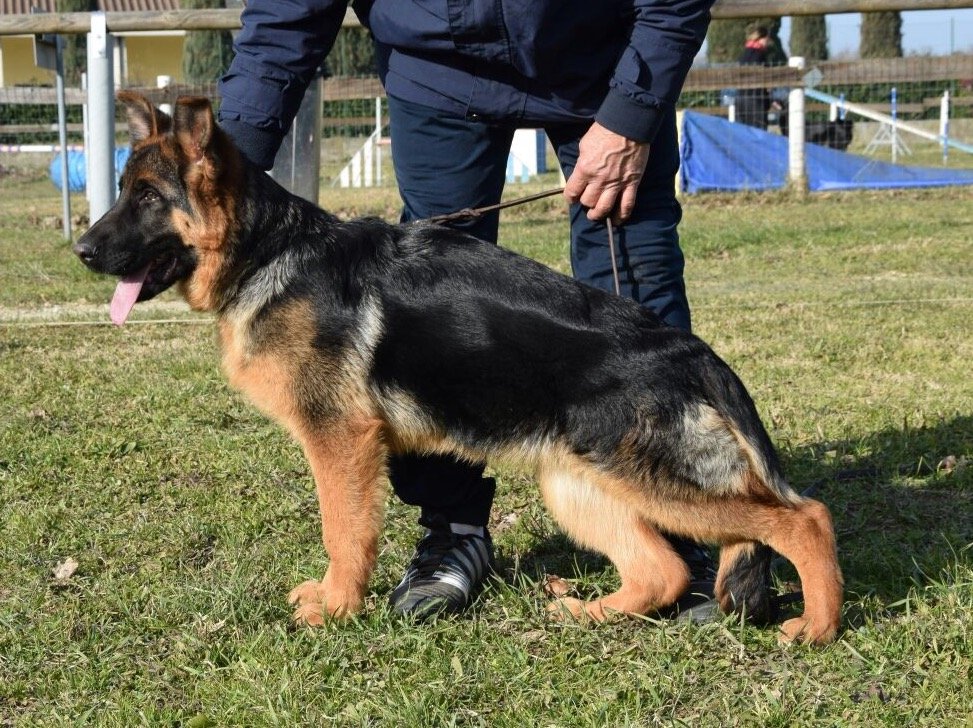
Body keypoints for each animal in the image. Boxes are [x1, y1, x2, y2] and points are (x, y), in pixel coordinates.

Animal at [72, 94, 840, 644]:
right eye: (122, 190)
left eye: (147, 198)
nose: (80, 251)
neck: (269, 250)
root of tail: (695, 352)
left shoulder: (340, 443)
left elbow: (344, 531)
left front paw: (336, 607)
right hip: (579, 482)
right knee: (664, 570)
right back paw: (587, 614)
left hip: (654, 481)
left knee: (804, 518)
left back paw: (817, 626)